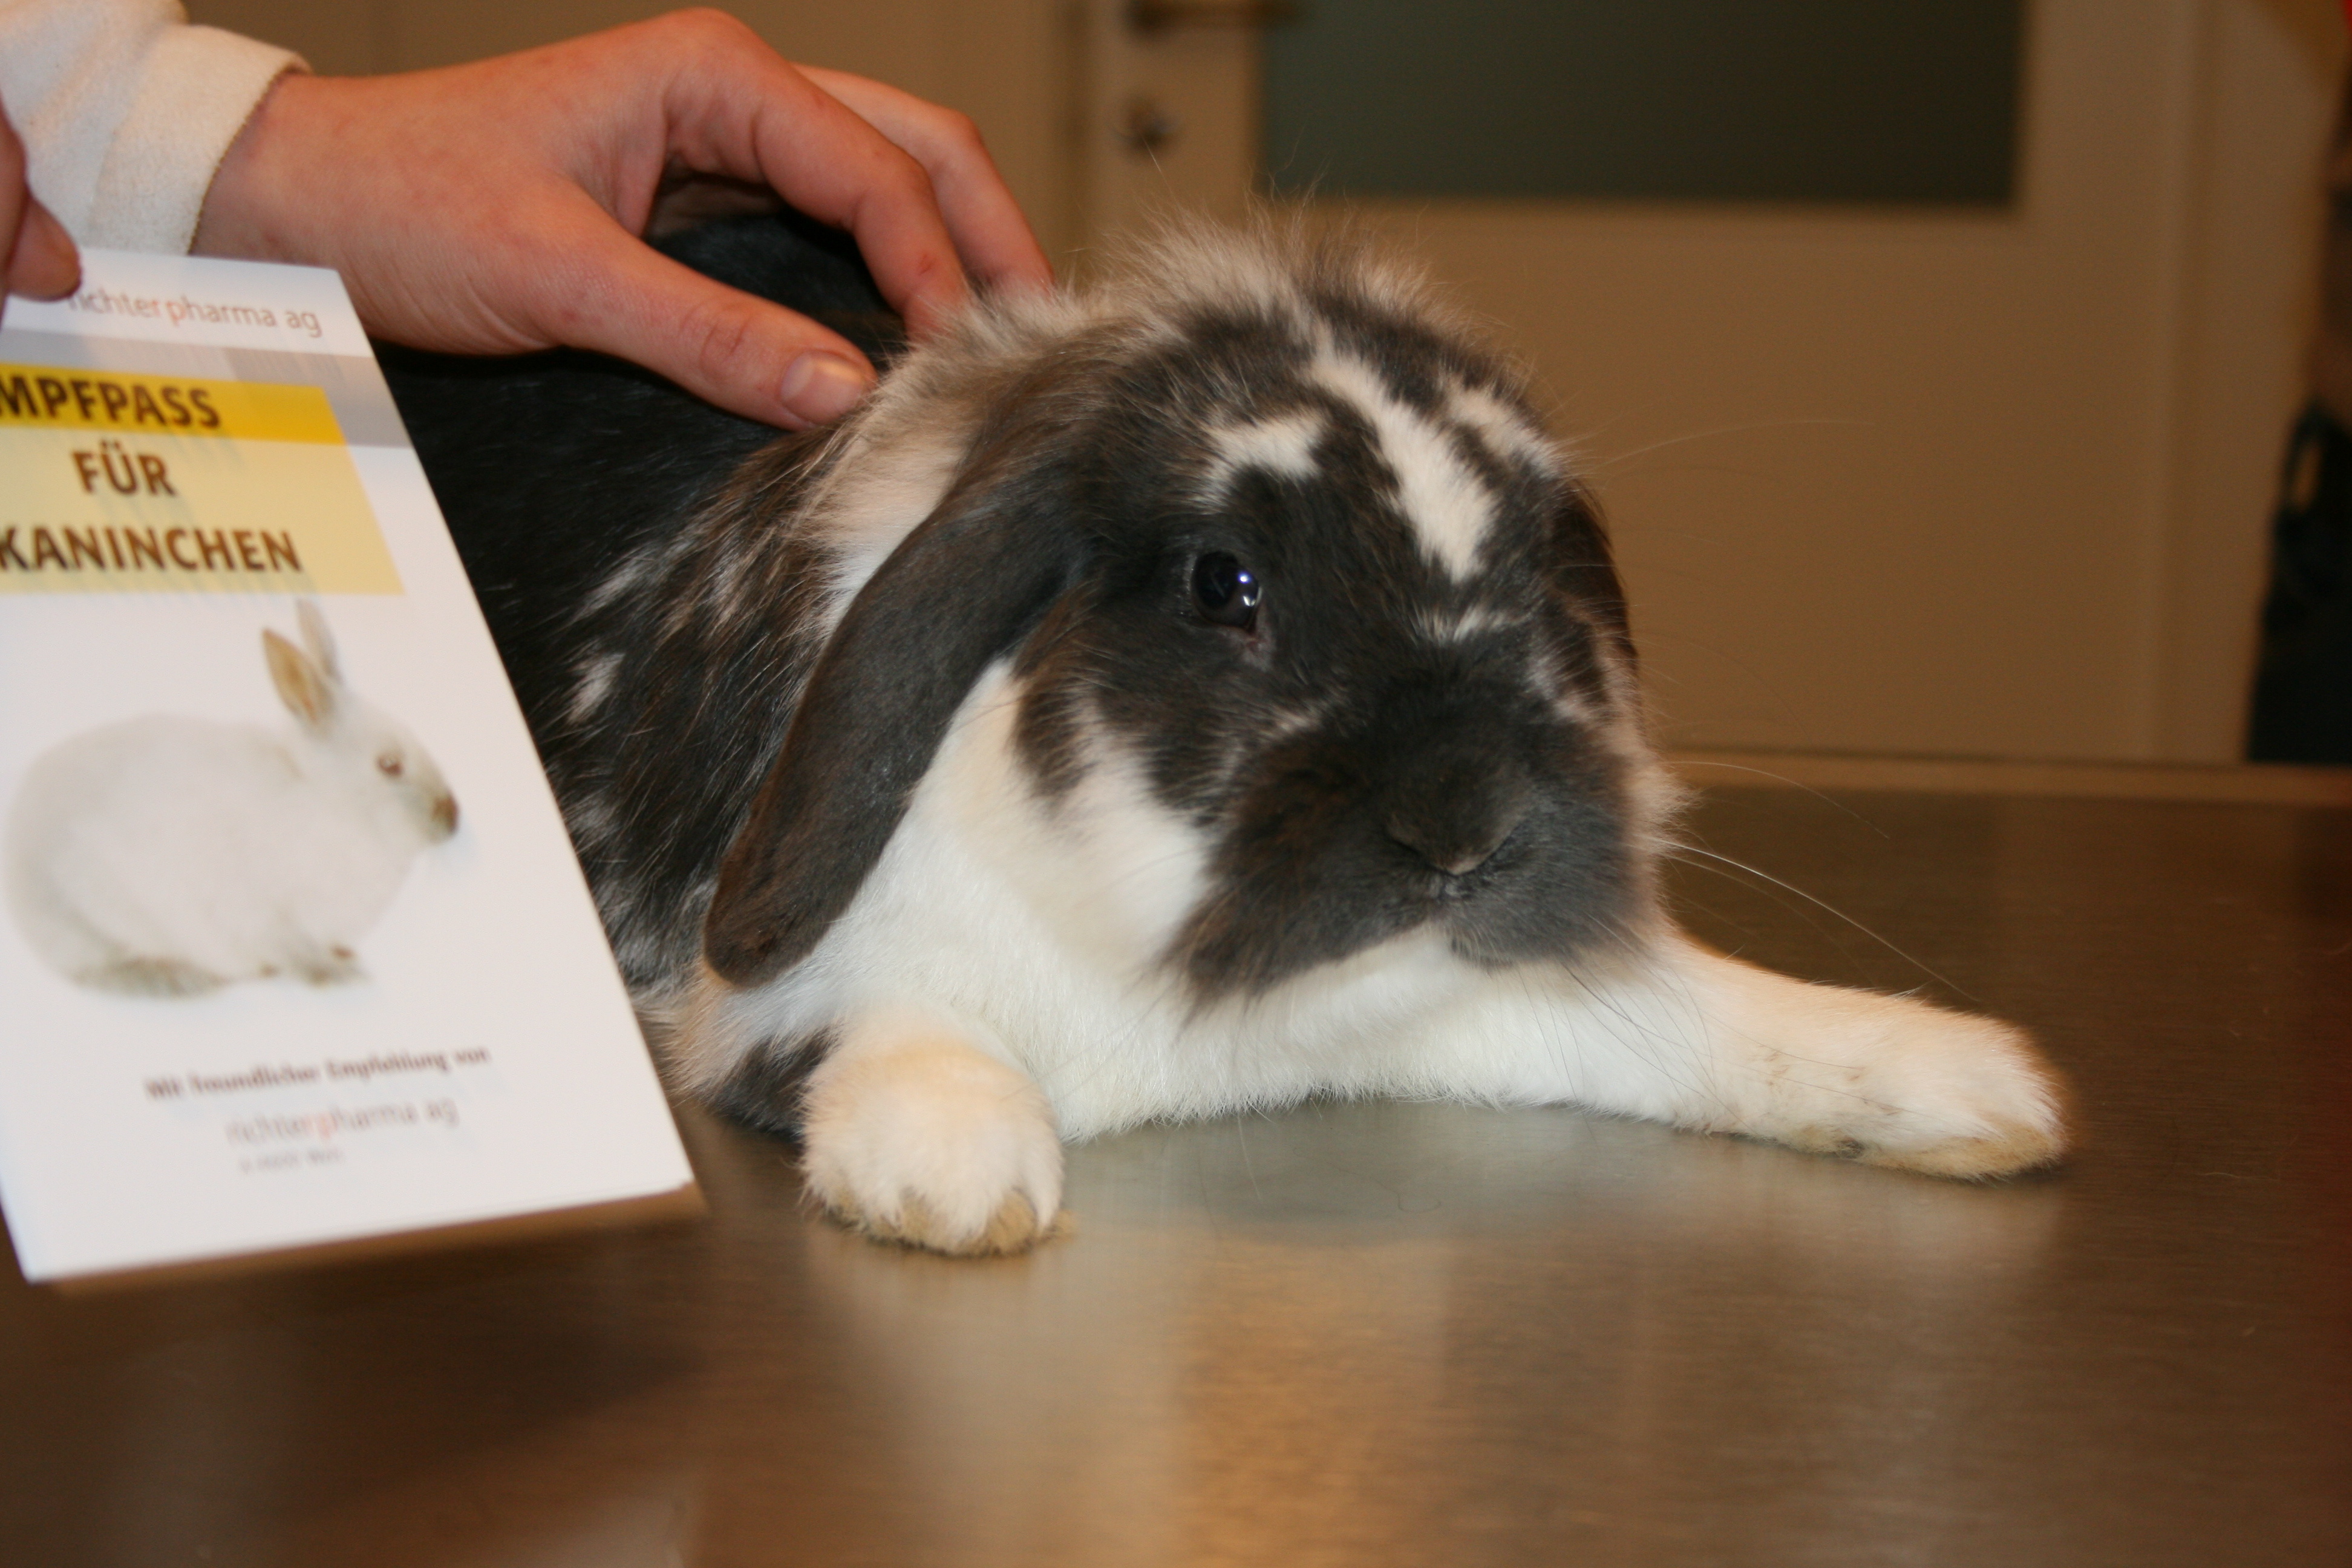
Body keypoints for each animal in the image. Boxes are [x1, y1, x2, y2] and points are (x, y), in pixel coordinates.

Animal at [5, 602, 459, 996]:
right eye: (389, 765)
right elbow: (291, 950)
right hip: (91, 909)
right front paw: (337, 975)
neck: (329, 803)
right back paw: (177, 978)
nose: (453, 819)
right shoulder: (263, 914)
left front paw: (344, 957)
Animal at [385, 212, 2067, 1257]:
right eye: (1224, 584)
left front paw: (1960, 1084)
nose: (1465, 826)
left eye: (1543, 574)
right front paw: (954, 1165)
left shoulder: (1469, 1017)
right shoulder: (777, 1002)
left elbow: (1686, 1022)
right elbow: (887, 1029)